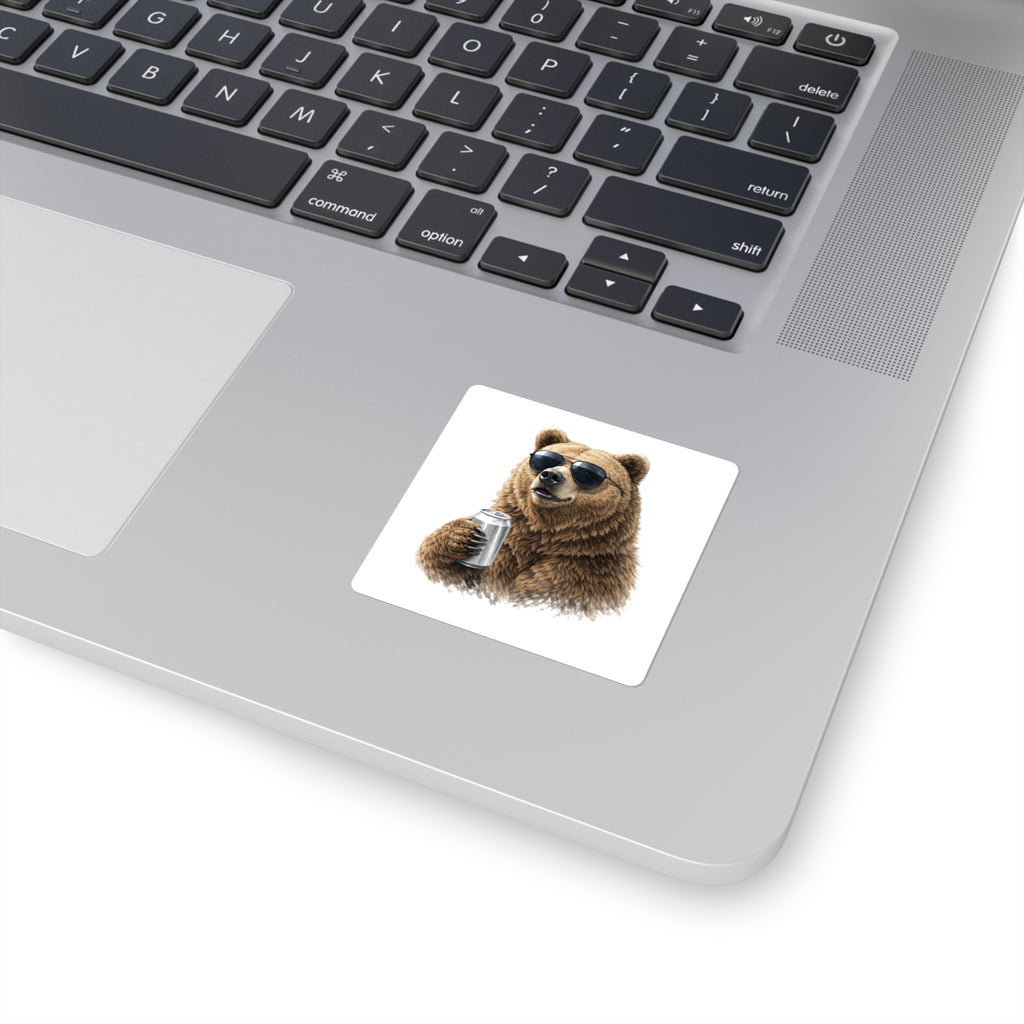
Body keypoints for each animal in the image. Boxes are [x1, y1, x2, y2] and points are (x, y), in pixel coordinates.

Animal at [416, 427, 650, 618]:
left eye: (587, 473)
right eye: (547, 460)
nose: (551, 475)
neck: (543, 533)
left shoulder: (588, 573)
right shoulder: (506, 550)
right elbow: (452, 575)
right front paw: (462, 535)